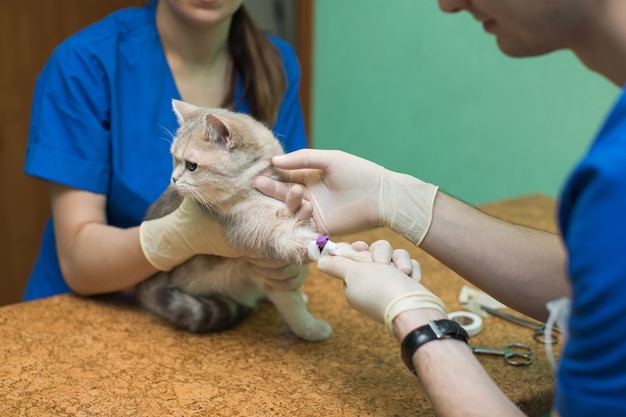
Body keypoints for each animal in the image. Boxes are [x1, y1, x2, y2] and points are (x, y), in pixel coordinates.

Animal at [136, 99, 332, 340]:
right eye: (175, 159)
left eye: (191, 165)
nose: (173, 179)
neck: (252, 181)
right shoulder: (257, 247)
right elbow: (290, 300)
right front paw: (310, 328)